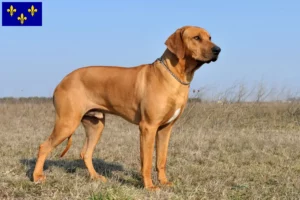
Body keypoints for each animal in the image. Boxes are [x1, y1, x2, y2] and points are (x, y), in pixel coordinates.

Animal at [32, 25, 220, 191]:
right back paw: (37, 177)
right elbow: (146, 162)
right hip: (67, 123)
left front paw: (164, 182)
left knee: (86, 153)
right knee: (43, 147)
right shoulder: (148, 127)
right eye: (197, 38)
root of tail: (62, 81)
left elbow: (161, 159)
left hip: (96, 125)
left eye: (210, 37)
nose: (218, 50)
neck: (174, 76)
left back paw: (95, 177)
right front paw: (150, 186)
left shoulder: (165, 129)